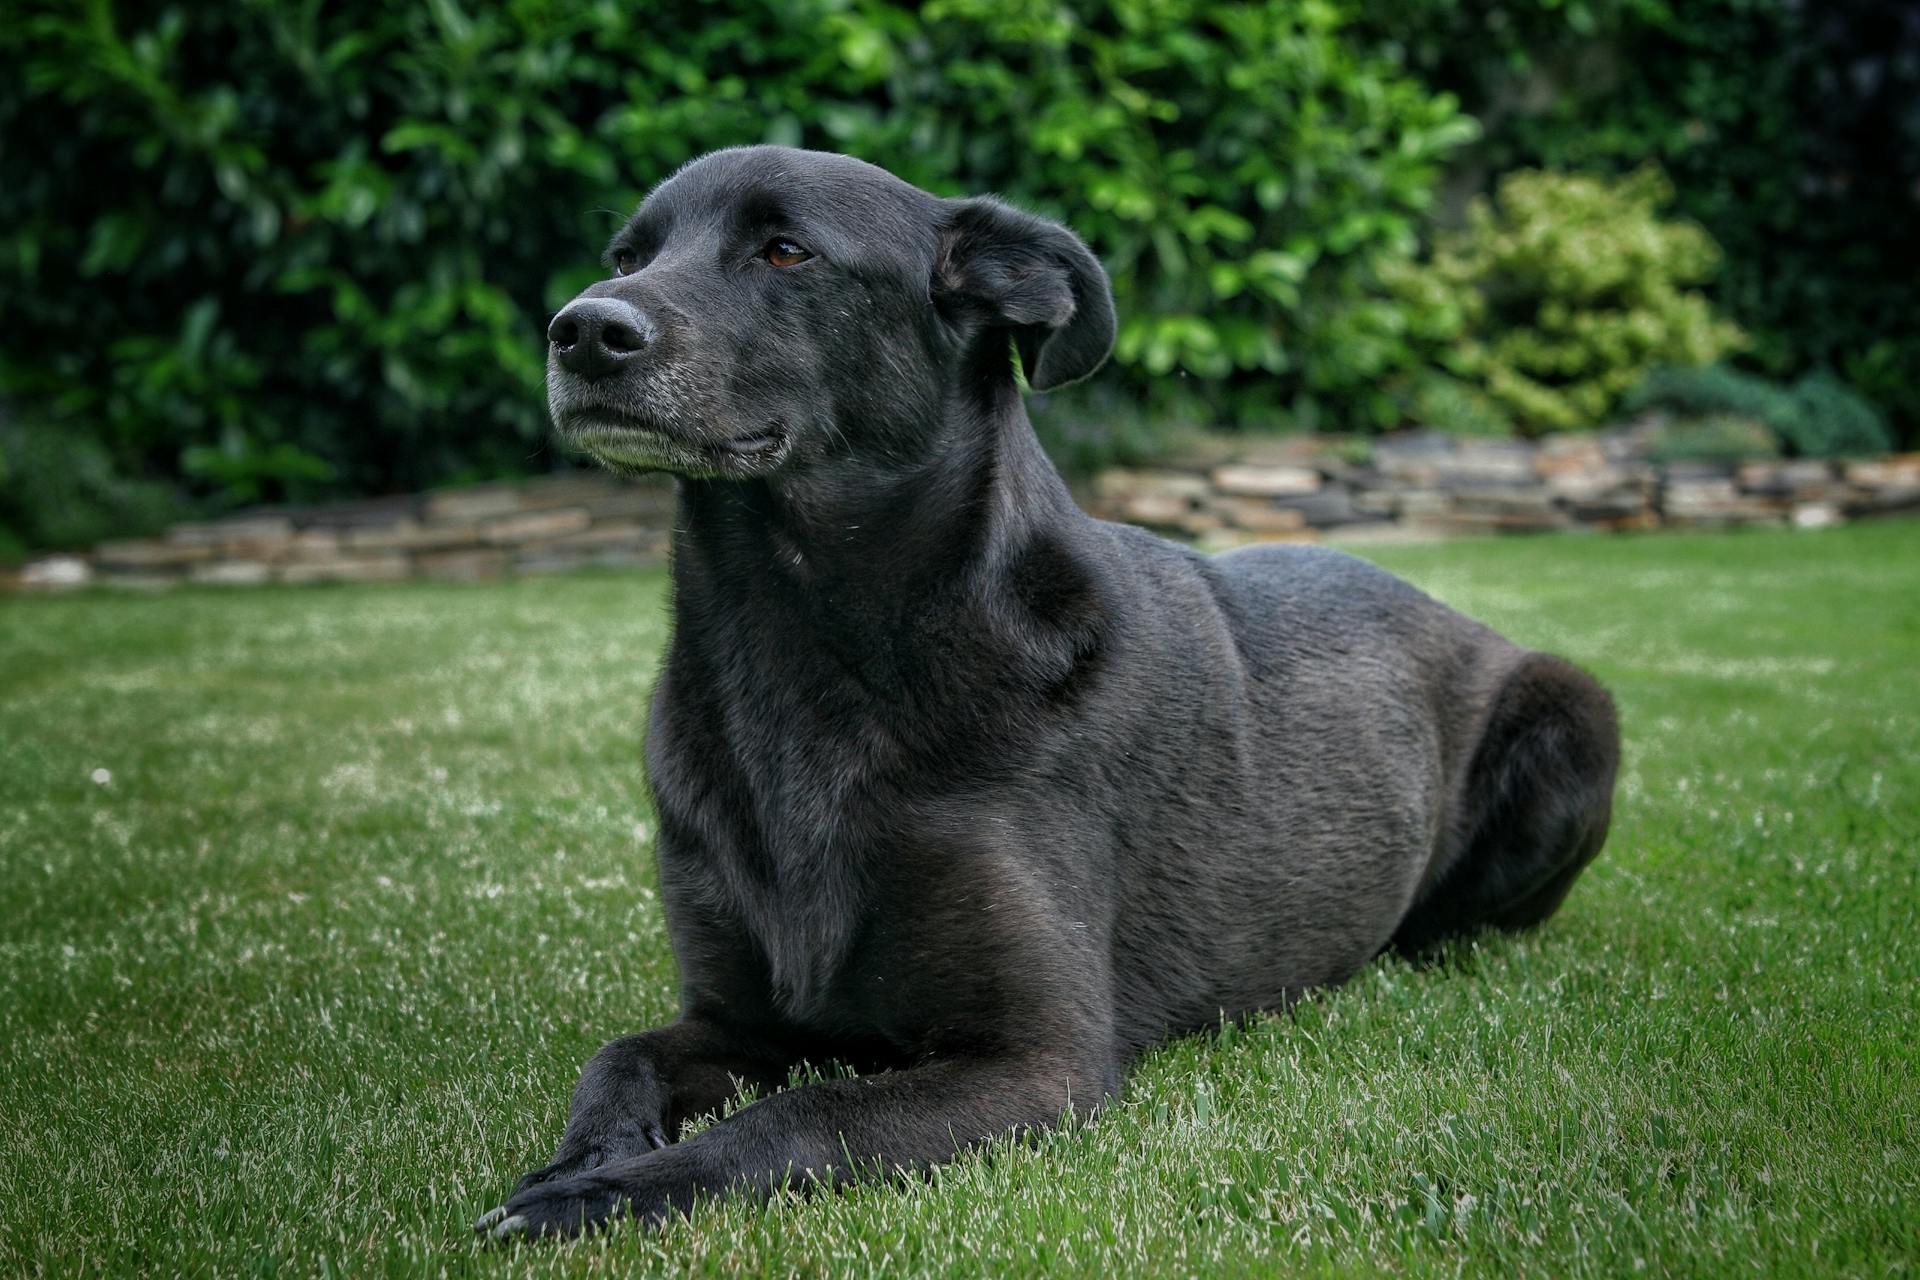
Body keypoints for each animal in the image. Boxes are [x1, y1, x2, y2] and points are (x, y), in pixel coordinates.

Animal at [472, 147, 1612, 1243]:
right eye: (628, 255)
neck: (803, 648)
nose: (582, 331)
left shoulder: (1038, 1061)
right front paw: (586, 1156)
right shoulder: (736, 1021)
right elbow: (619, 1054)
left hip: (1577, 713)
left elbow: (803, 1116)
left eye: (787, 250)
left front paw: (601, 1194)